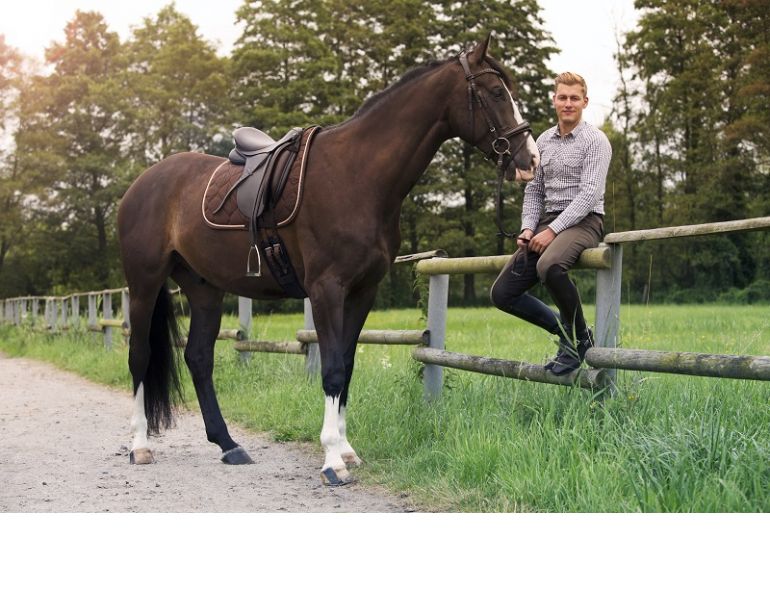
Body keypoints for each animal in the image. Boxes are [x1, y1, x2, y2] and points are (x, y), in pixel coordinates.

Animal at [117, 34, 540, 486]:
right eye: (495, 93)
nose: (529, 159)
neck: (356, 175)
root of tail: (142, 183)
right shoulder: (326, 290)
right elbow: (332, 368)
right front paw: (333, 461)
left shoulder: (362, 292)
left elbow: (347, 366)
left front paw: (347, 450)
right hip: (144, 284)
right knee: (140, 355)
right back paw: (139, 446)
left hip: (205, 290)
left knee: (198, 358)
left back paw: (228, 445)